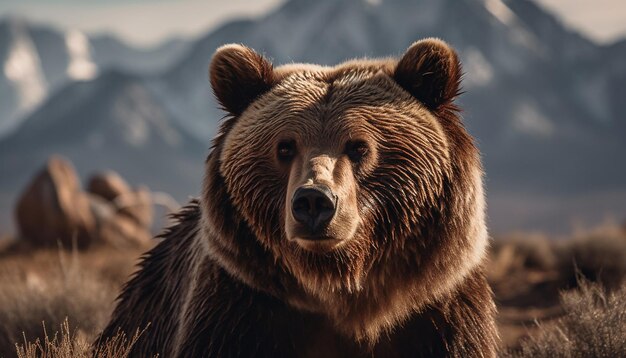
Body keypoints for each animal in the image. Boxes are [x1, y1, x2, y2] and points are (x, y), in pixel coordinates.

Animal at [98, 39, 498, 358]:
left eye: (359, 147)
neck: (339, 288)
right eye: (285, 146)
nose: (314, 202)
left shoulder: (439, 310)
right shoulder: (240, 305)